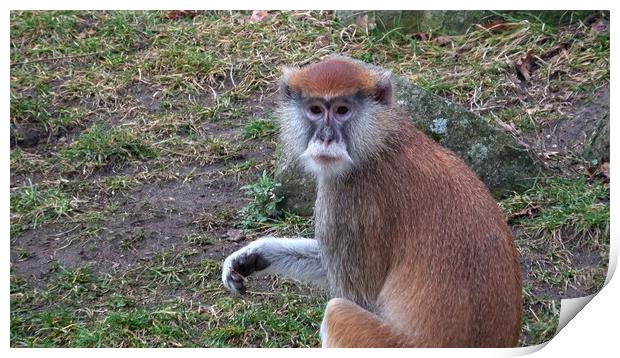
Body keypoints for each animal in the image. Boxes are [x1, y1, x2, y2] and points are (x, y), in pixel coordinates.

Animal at [223, 55, 524, 346]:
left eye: (342, 110)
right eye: (316, 110)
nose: (326, 137)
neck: (380, 142)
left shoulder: (350, 196)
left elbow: (360, 297)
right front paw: (254, 255)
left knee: (337, 313)